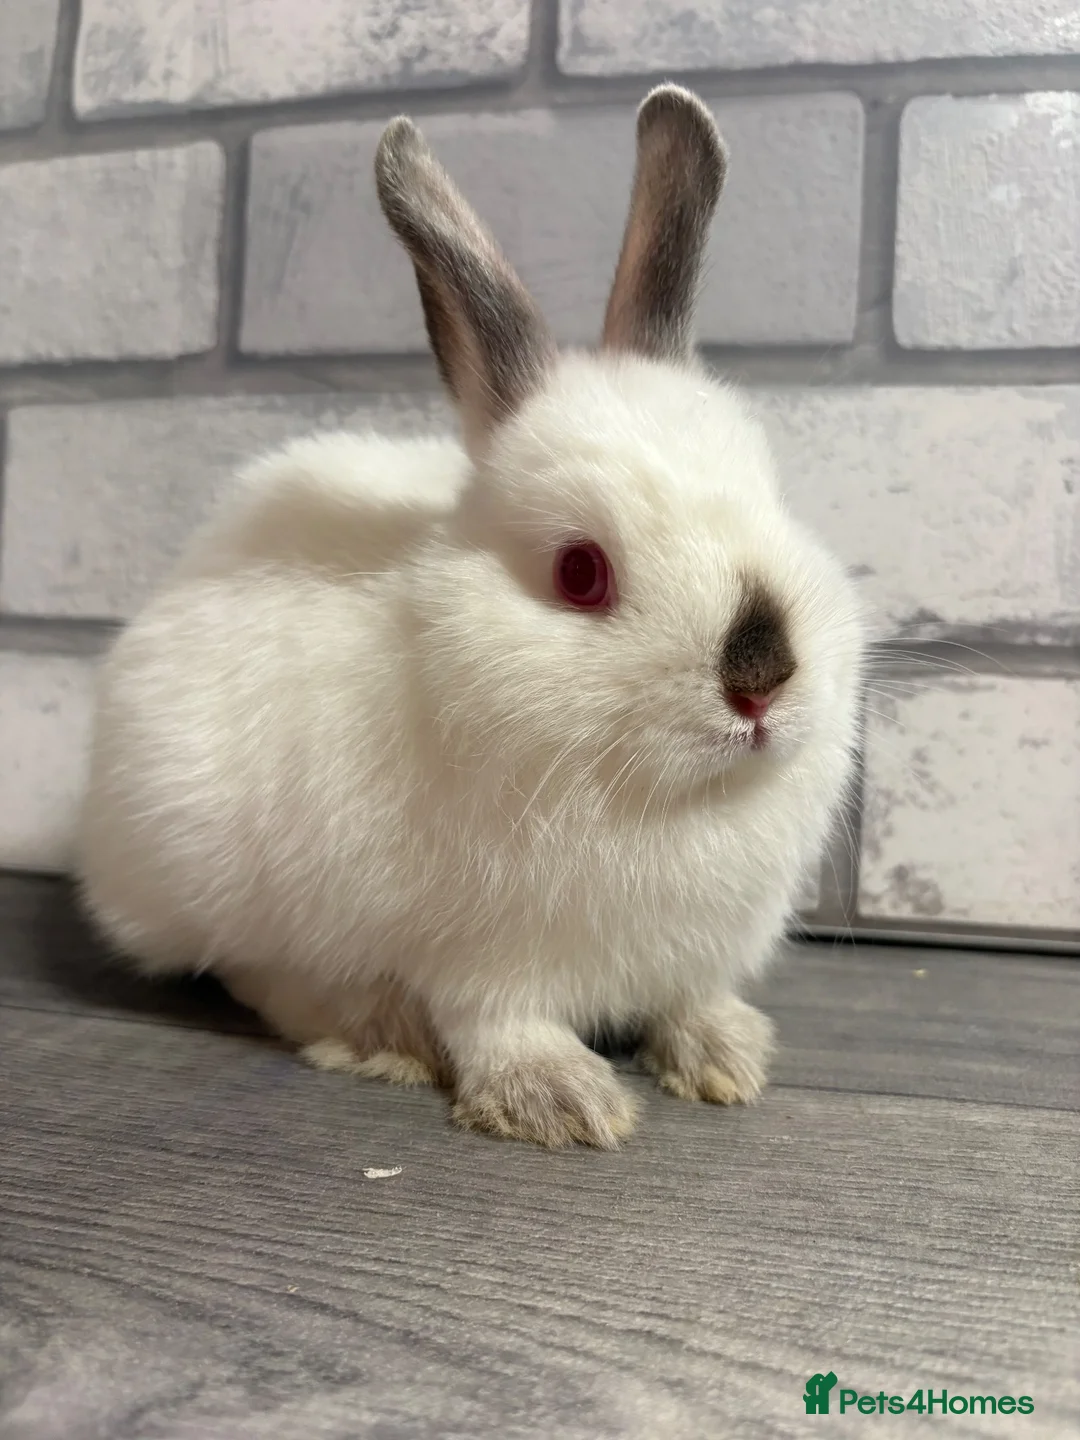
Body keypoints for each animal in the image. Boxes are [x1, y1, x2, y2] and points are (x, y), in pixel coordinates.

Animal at [75, 85, 864, 1149]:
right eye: (580, 572)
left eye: (773, 499)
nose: (760, 679)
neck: (660, 803)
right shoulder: (482, 966)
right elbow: (497, 1026)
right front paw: (563, 1102)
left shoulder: (689, 956)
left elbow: (688, 1003)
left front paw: (725, 1057)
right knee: (261, 970)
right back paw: (376, 1033)